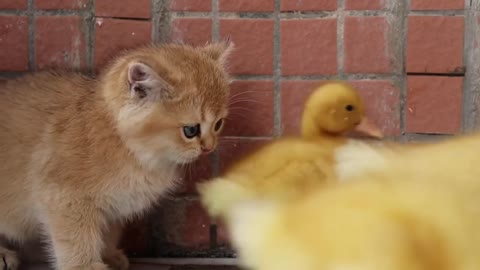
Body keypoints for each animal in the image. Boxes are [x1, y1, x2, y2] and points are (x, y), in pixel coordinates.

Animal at [0, 40, 233, 270]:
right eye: (191, 130)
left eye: (218, 124)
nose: (209, 147)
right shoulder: (64, 197)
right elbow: (77, 237)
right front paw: (85, 265)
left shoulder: (114, 207)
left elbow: (108, 233)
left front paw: (108, 255)